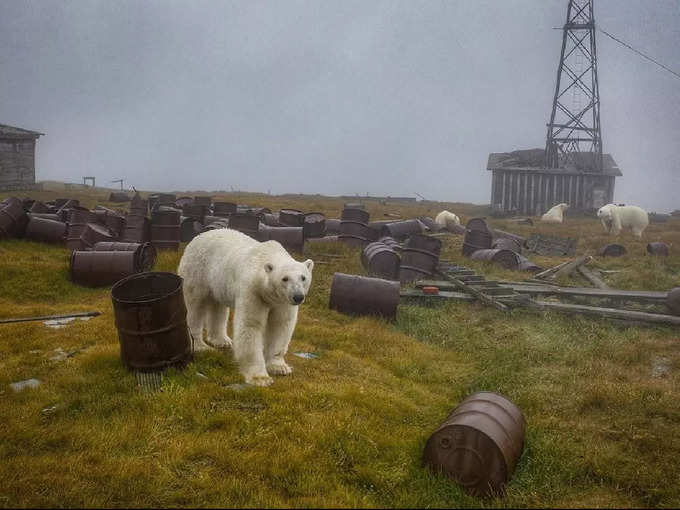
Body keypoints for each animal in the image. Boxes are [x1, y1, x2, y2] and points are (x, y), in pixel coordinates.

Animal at [175, 229, 314, 384]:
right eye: (285, 278)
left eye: (303, 277)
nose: (298, 297)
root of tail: (198, 236)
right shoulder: (253, 291)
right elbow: (250, 325)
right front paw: (260, 377)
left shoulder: (282, 302)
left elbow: (281, 325)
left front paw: (280, 368)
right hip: (197, 271)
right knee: (194, 306)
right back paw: (200, 346)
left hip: (218, 280)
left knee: (218, 307)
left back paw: (222, 341)